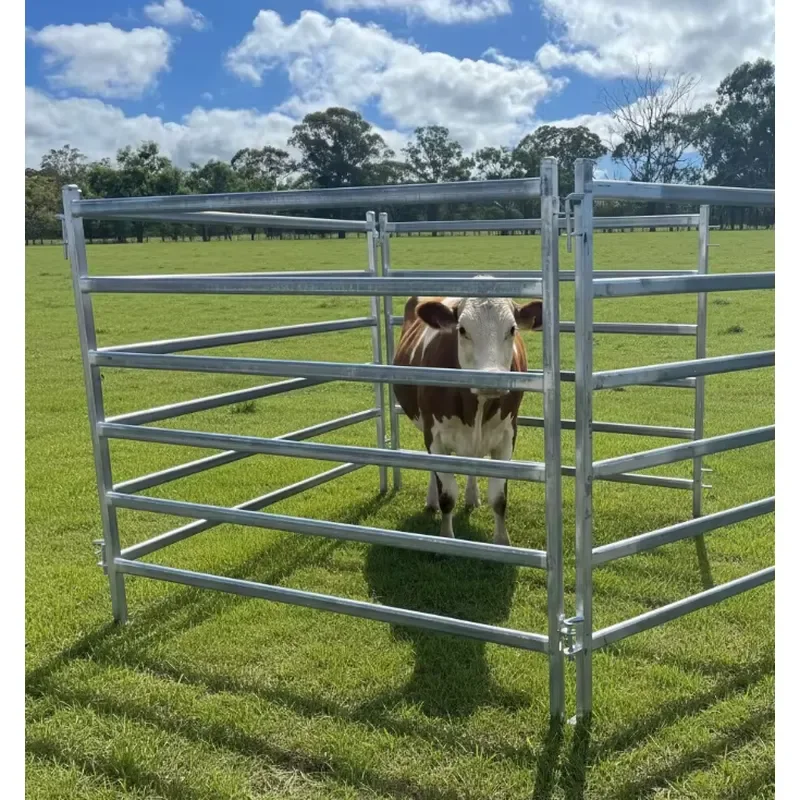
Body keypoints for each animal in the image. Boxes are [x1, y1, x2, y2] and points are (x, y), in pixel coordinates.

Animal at [393, 283, 543, 546]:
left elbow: (499, 497)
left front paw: (502, 542)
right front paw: (446, 539)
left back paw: (472, 497)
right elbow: (447, 496)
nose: (491, 379)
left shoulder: (507, 435)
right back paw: (431, 500)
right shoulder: (435, 435)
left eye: (512, 329)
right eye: (462, 330)